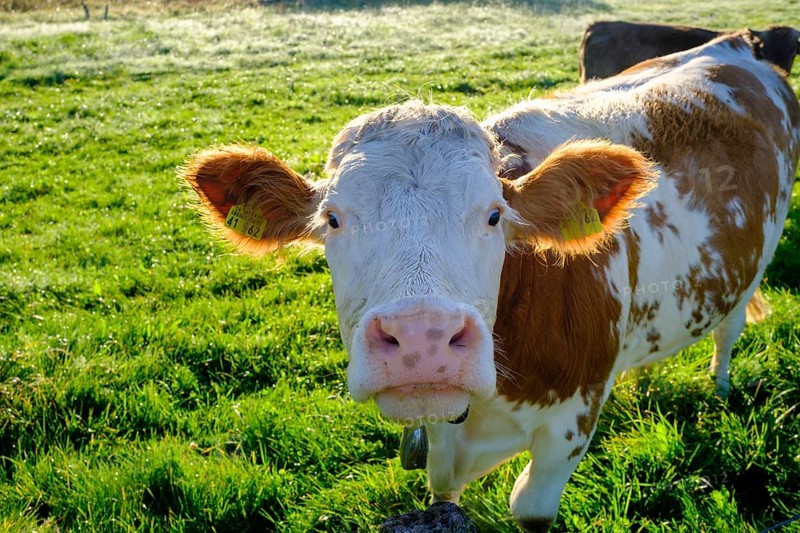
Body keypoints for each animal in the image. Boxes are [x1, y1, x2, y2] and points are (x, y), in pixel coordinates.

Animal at [180, 34, 800, 532]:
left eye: (494, 215)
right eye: (332, 219)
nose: (423, 340)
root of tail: (736, 44)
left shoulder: (569, 426)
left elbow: (530, 508)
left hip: (752, 269)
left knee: (728, 332)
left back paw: (719, 388)